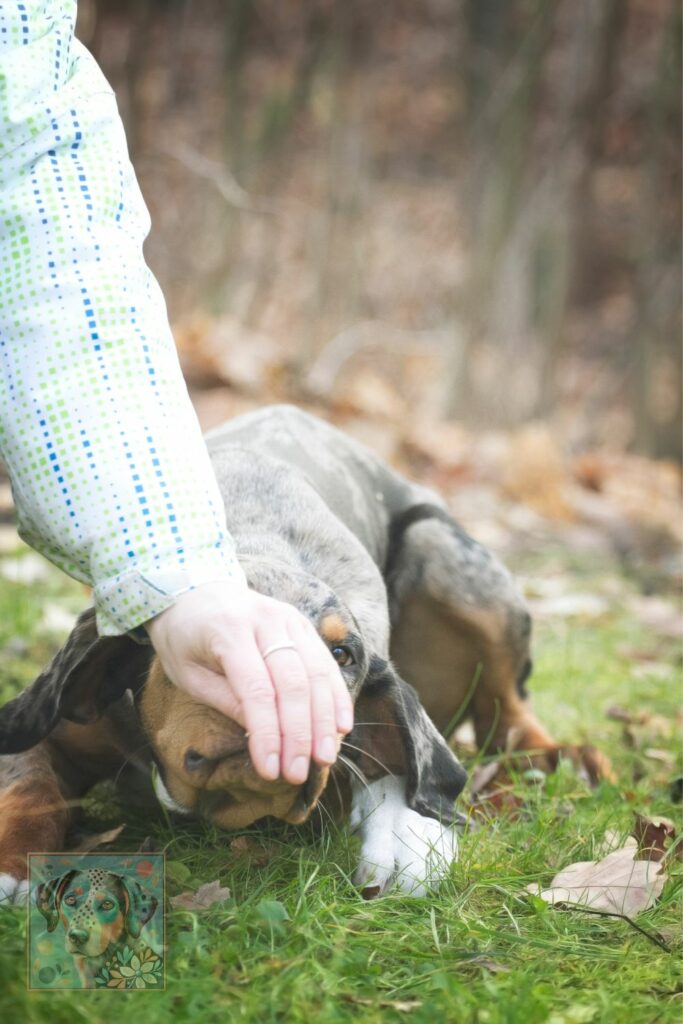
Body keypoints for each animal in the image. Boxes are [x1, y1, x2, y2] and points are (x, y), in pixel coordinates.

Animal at [0, 403, 602, 901]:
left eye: (342, 656)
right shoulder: (53, 731)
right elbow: (31, 787)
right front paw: (15, 864)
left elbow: (400, 764)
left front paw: (407, 838)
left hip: (445, 553)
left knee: (509, 706)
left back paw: (560, 758)